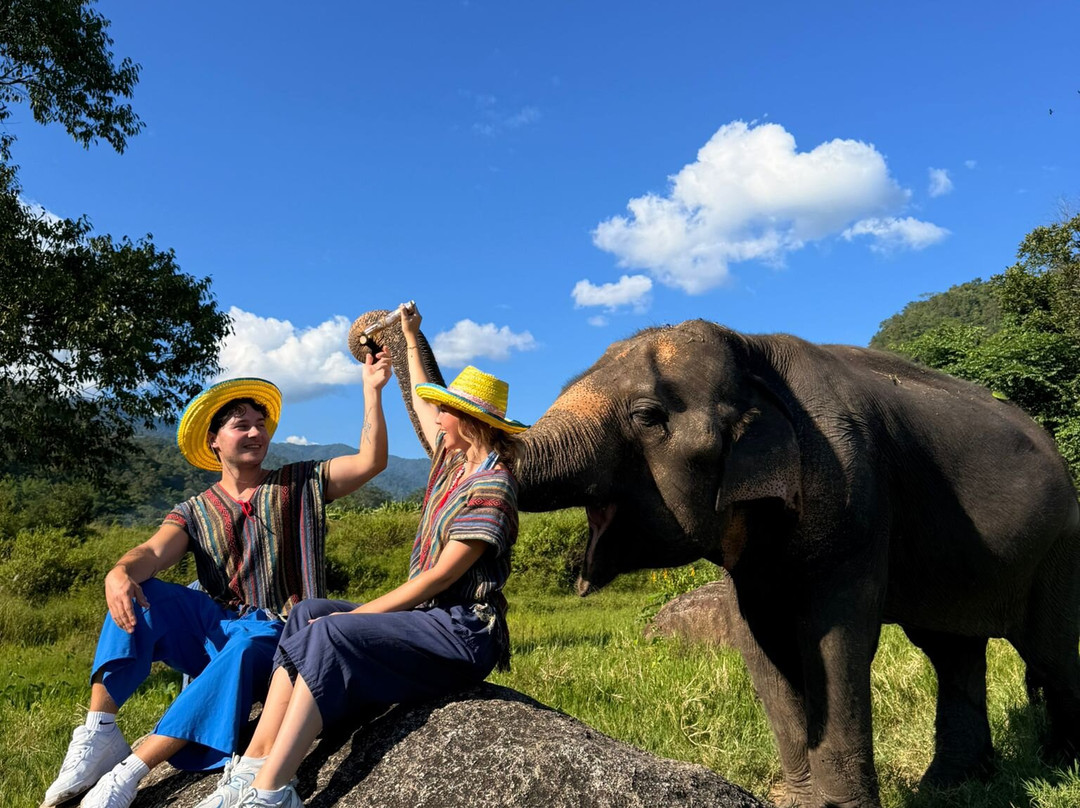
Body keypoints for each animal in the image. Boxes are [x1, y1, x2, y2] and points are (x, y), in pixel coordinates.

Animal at [350, 312, 1080, 808]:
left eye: (647, 417)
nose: (375, 329)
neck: (753, 351)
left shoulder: (855, 500)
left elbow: (835, 644)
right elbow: (762, 646)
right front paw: (801, 802)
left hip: (1060, 543)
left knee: (1046, 653)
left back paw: (1058, 768)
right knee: (951, 650)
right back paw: (951, 788)